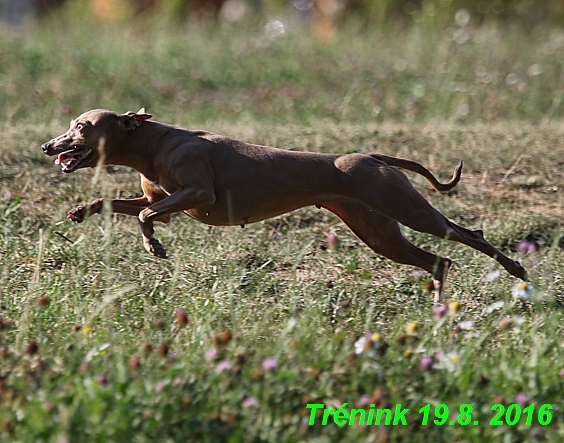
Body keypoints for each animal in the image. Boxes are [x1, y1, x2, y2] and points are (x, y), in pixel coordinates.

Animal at [40, 109, 528, 300]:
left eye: (81, 126)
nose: (48, 146)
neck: (154, 141)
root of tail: (373, 157)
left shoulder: (199, 195)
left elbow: (145, 214)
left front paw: (153, 246)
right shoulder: (158, 196)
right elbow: (120, 202)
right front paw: (80, 212)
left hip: (408, 209)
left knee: (469, 234)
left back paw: (515, 269)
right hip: (378, 232)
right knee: (439, 261)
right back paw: (440, 308)